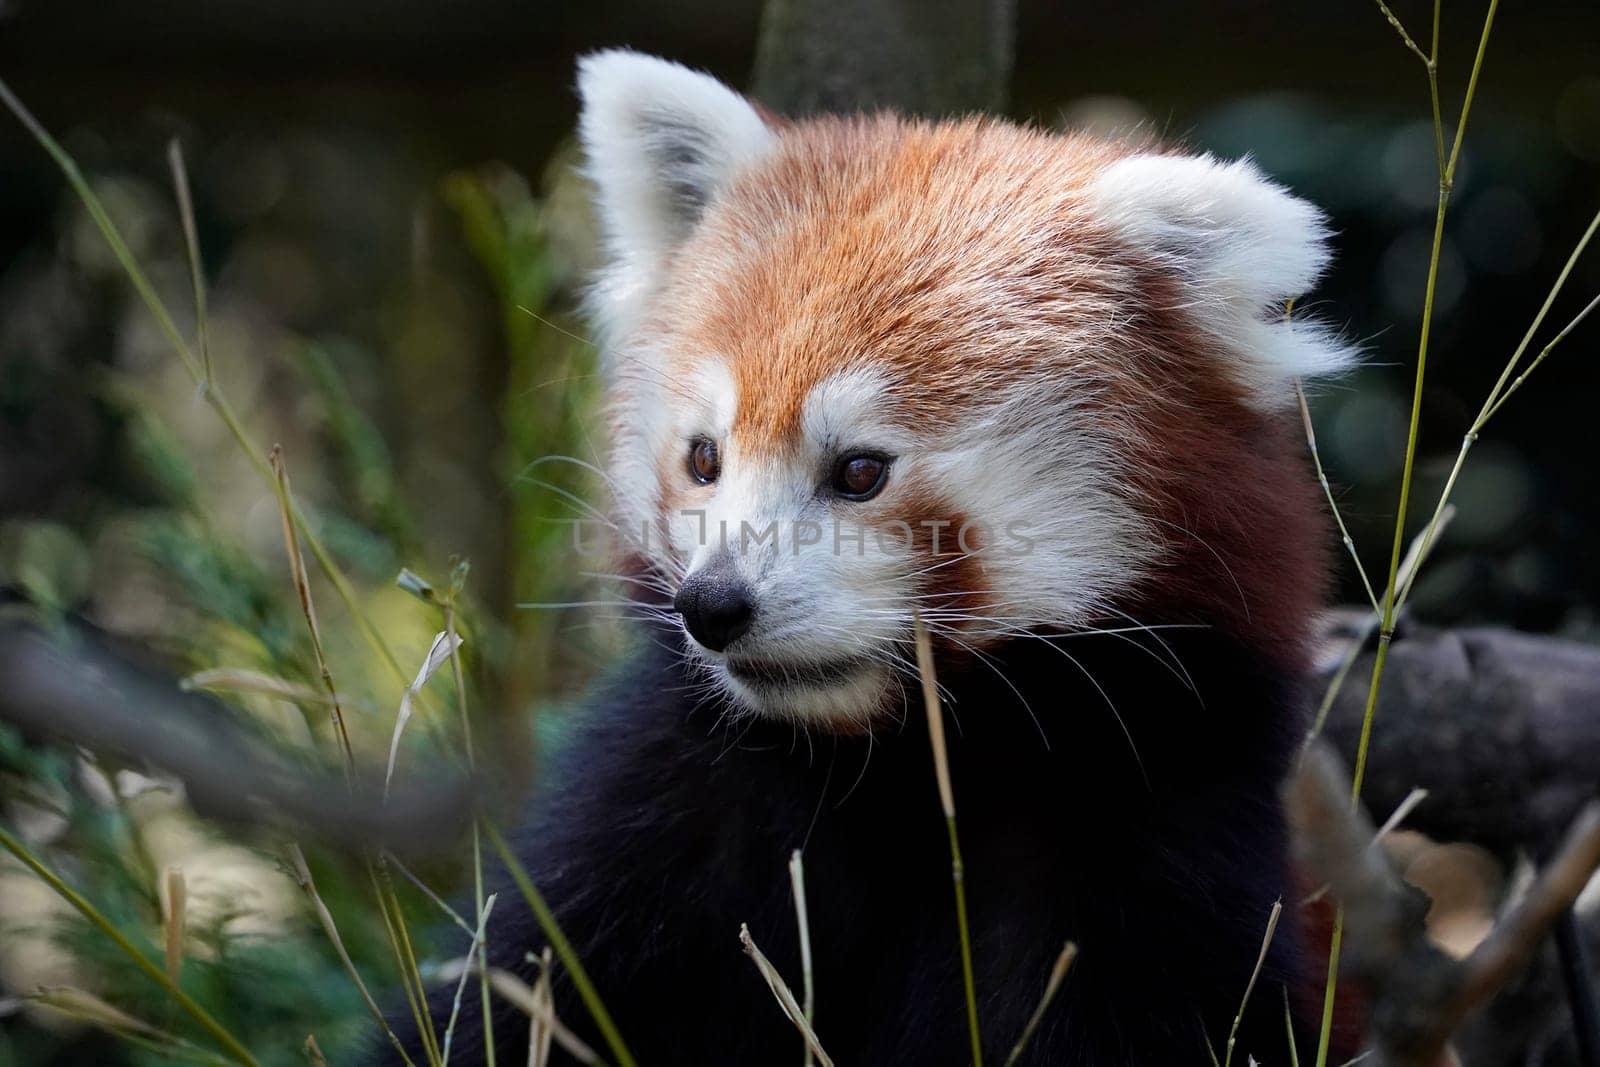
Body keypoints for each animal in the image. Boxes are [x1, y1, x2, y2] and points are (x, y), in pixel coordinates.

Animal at [384, 47, 1350, 1062]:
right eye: (704, 458)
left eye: (858, 470)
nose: (714, 604)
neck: (883, 770)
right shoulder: (668, 811)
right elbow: (511, 994)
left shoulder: (1154, 832)